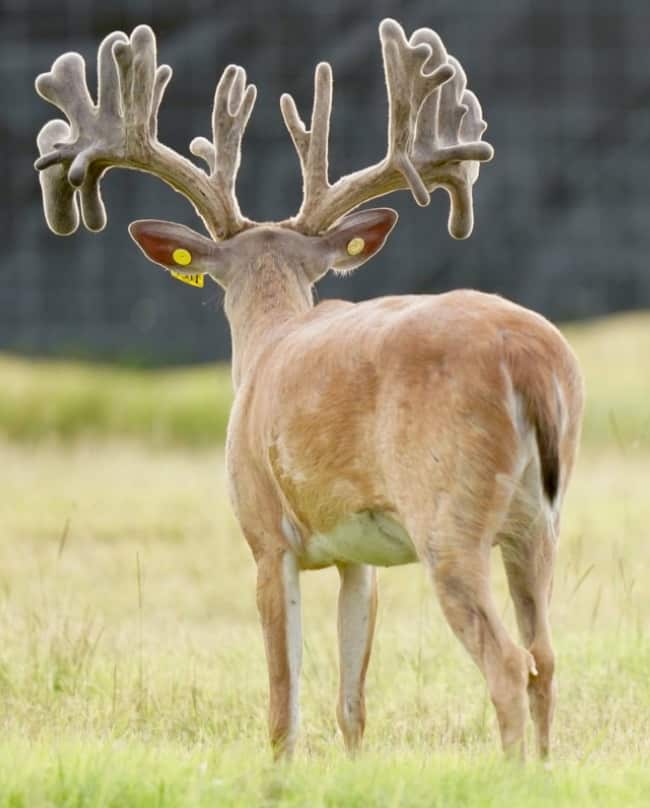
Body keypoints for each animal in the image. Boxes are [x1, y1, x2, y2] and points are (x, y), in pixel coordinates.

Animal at [34, 18, 584, 761]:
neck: (267, 345)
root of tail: (526, 355)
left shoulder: (266, 533)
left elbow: (280, 702)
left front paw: (281, 772)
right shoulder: (359, 555)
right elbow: (352, 703)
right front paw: (351, 770)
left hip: (448, 510)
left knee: (506, 659)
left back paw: (512, 773)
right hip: (539, 519)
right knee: (545, 656)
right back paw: (545, 769)